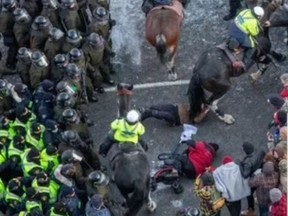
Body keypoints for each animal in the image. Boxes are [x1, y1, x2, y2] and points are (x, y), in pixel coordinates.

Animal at [105, 83, 155, 216]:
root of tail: (138, 180)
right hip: (146, 181)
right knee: (146, 196)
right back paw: (150, 206)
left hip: (123, 188)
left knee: (128, 199)